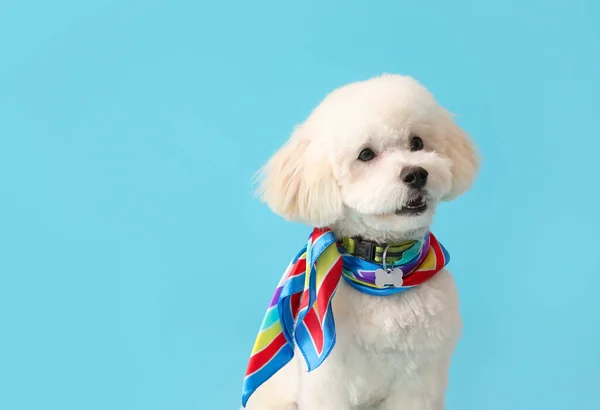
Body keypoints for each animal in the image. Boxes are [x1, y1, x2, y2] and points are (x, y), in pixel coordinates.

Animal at [243, 73, 478, 410]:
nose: (416, 174)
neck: (383, 266)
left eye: (417, 143)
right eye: (366, 154)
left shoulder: (419, 380)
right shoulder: (328, 381)